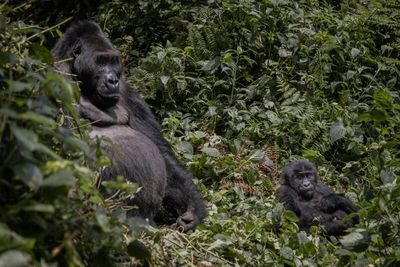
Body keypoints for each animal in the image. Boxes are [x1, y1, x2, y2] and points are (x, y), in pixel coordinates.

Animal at [52, 21, 206, 232]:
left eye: (113, 61)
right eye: (101, 61)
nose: (112, 80)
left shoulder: (126, 91)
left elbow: (162, 152)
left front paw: (192, 210)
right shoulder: (55, 76)